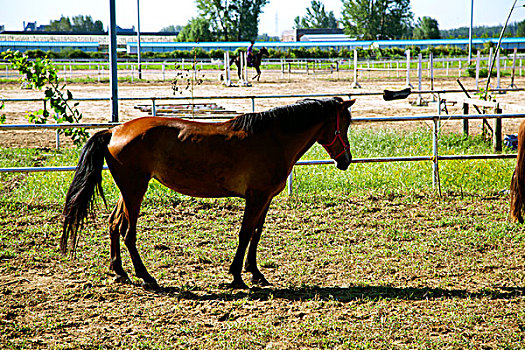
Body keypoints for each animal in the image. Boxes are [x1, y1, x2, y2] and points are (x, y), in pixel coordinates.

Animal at [61, 97, 356, 288]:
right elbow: (245, 234)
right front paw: (236, 276)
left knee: (114, 224)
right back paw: (146, 277)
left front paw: (255, 273)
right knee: (128, 233)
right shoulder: (256, 198)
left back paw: (120, 272)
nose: (346, 160)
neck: (274, 138)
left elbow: (257, 234)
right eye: (345, 123)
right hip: (135, 191)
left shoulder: (265, 199)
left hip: (128, 191)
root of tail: (114, 130)